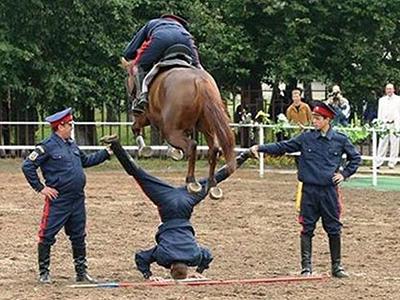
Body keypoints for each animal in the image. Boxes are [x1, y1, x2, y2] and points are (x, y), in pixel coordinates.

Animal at [122, 62, 234, 198]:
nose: (130, 94)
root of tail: (200, 81)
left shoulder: (145, 116)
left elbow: (135, 127)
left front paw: (144, 149)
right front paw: (173, 151)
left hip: (172, 131)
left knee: (192, 145)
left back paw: (191, 181)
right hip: (208, 128)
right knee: (214, 149)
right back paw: (212, 185)